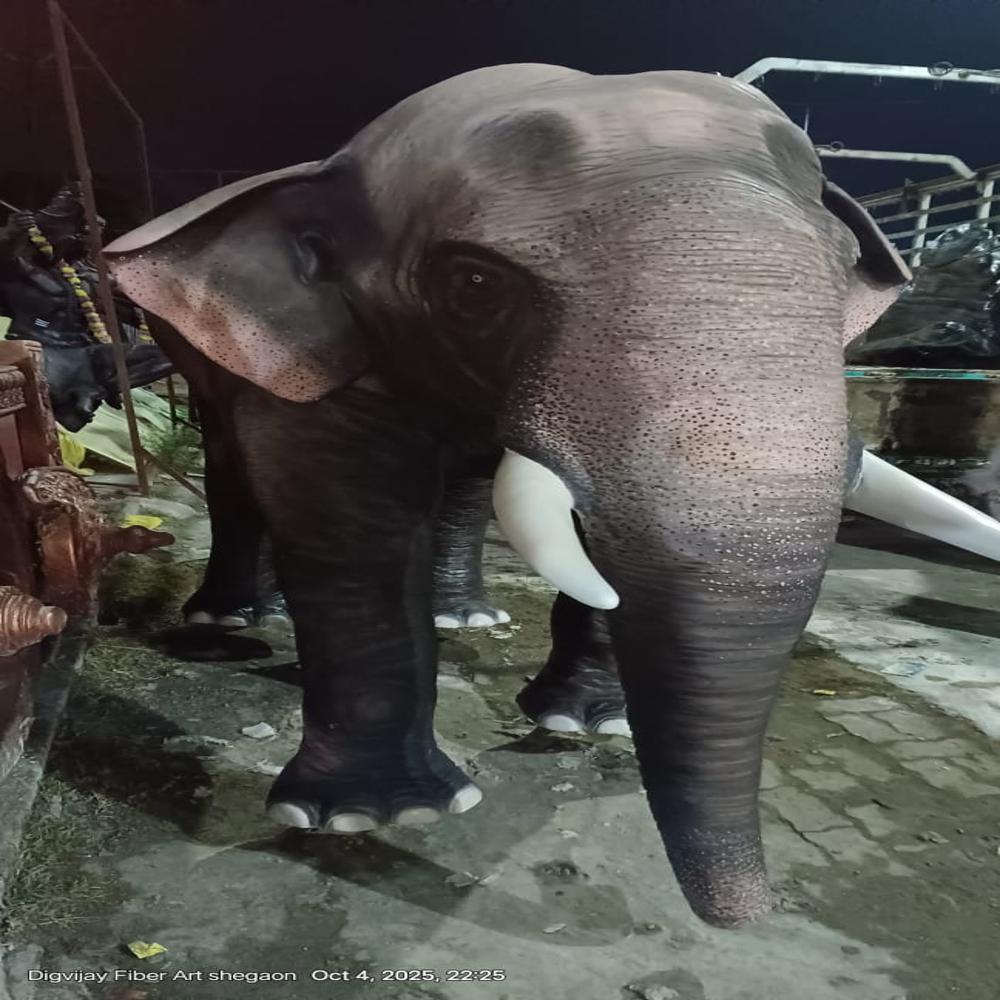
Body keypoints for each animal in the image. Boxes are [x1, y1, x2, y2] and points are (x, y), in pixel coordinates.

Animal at [104, 64, 1000, 927]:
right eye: (473, 285)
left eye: (843, 270)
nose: (755, 917)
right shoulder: (319, 350)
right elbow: (351, 522)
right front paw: (372, 817)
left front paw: (589, 723)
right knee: (231, 461)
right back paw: (235, 621)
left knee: (467, 482)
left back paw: (463, 618)